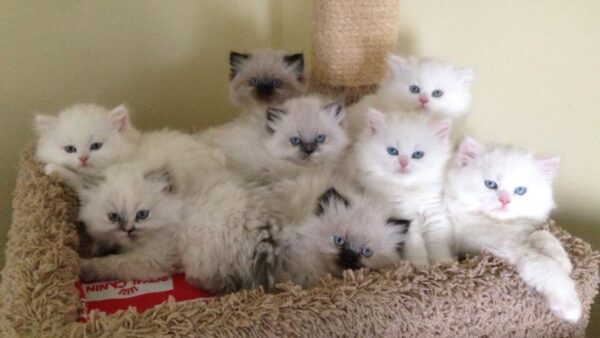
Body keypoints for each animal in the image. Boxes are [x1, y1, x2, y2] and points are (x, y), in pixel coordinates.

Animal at [350, 109, 452, 266]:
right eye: (392, 151)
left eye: (417, 155)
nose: (403, 162)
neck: (407, 189)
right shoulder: (403, 218)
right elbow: (415, 243)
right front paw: (419, 265)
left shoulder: (433, 211)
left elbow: (438, 240)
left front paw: (444, 263)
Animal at [446, 137, 580, 322]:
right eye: (490, 184)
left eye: (520, 190)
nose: (504, 200)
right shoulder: (485, 241)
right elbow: (544, 263)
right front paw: (569, 306)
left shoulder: (518, 232)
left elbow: (543, 235)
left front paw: (563, 260)